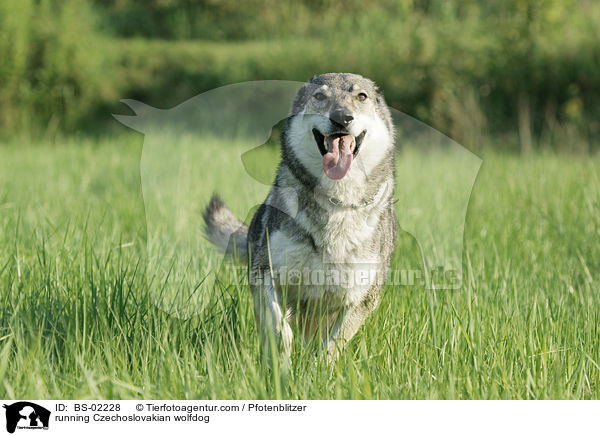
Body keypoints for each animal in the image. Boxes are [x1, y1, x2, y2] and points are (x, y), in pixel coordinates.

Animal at [204, 73, 396, 360]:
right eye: (320, 96)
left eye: (361, 96)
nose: (342, 117)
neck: (336, 202)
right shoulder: (265, 274)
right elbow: (280, 330)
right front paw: (282, 365)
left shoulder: (361, 300)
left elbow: (330, 347)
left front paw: (316, 369)